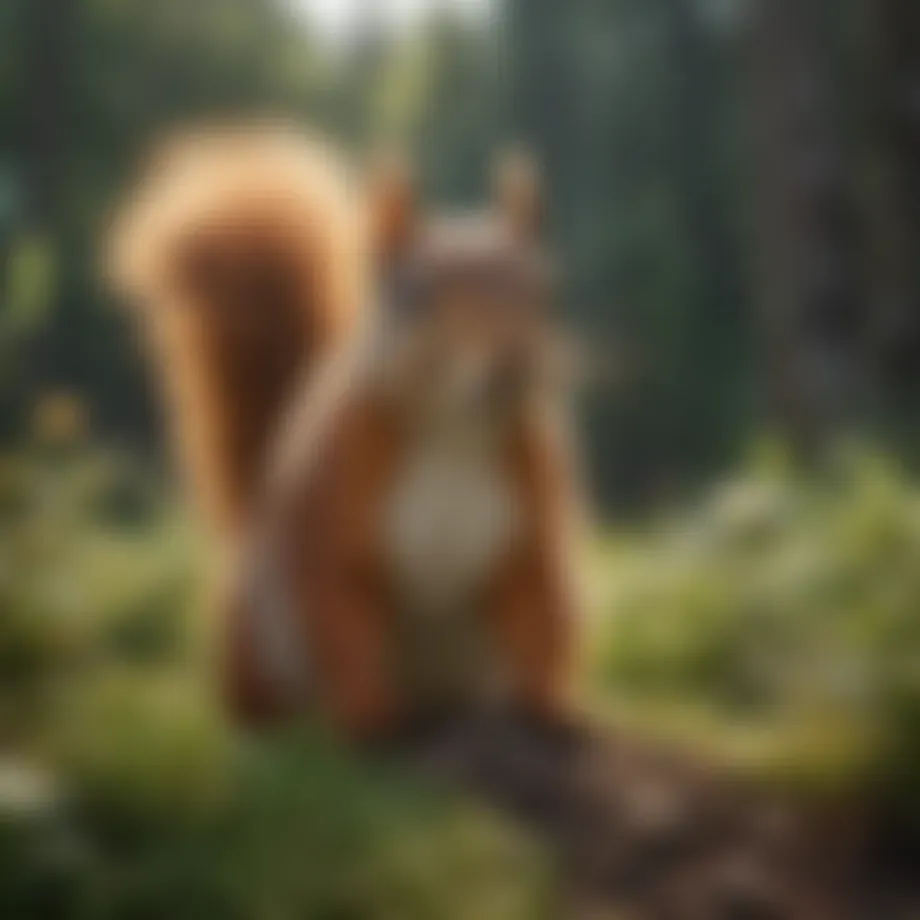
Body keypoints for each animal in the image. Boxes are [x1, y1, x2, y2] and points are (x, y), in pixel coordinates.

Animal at [112, 125, 584, 743]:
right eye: (421, 296)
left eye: (543, 293)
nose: (515, 361)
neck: (452, 430)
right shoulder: (333, 506)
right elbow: (341, 619)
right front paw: (367, 713)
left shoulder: (531, 517)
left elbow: (539, 611)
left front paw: (547, 703)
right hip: (251, 628)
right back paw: (262, 716)